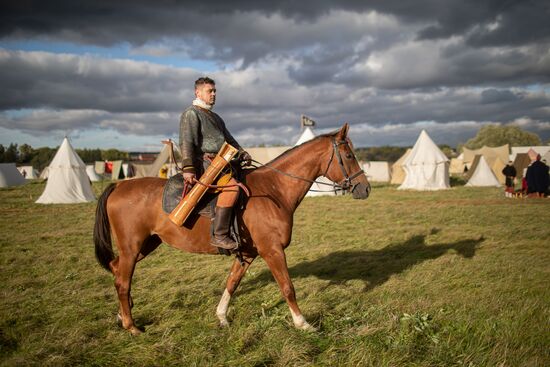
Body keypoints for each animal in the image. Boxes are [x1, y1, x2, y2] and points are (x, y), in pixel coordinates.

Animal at [95, 124, 374, 336]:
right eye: (349, 156)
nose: (365, 188)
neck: (274, 189)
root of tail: (118, 186)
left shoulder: (248, 254)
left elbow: (232, 282)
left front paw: (221, 316)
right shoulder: (273, 251)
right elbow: (287, 287)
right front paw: (303, 323)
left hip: (146, 245)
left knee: (117, 270)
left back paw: (122, 315)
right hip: (133, 247)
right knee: (123, 281)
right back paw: (131, 326)